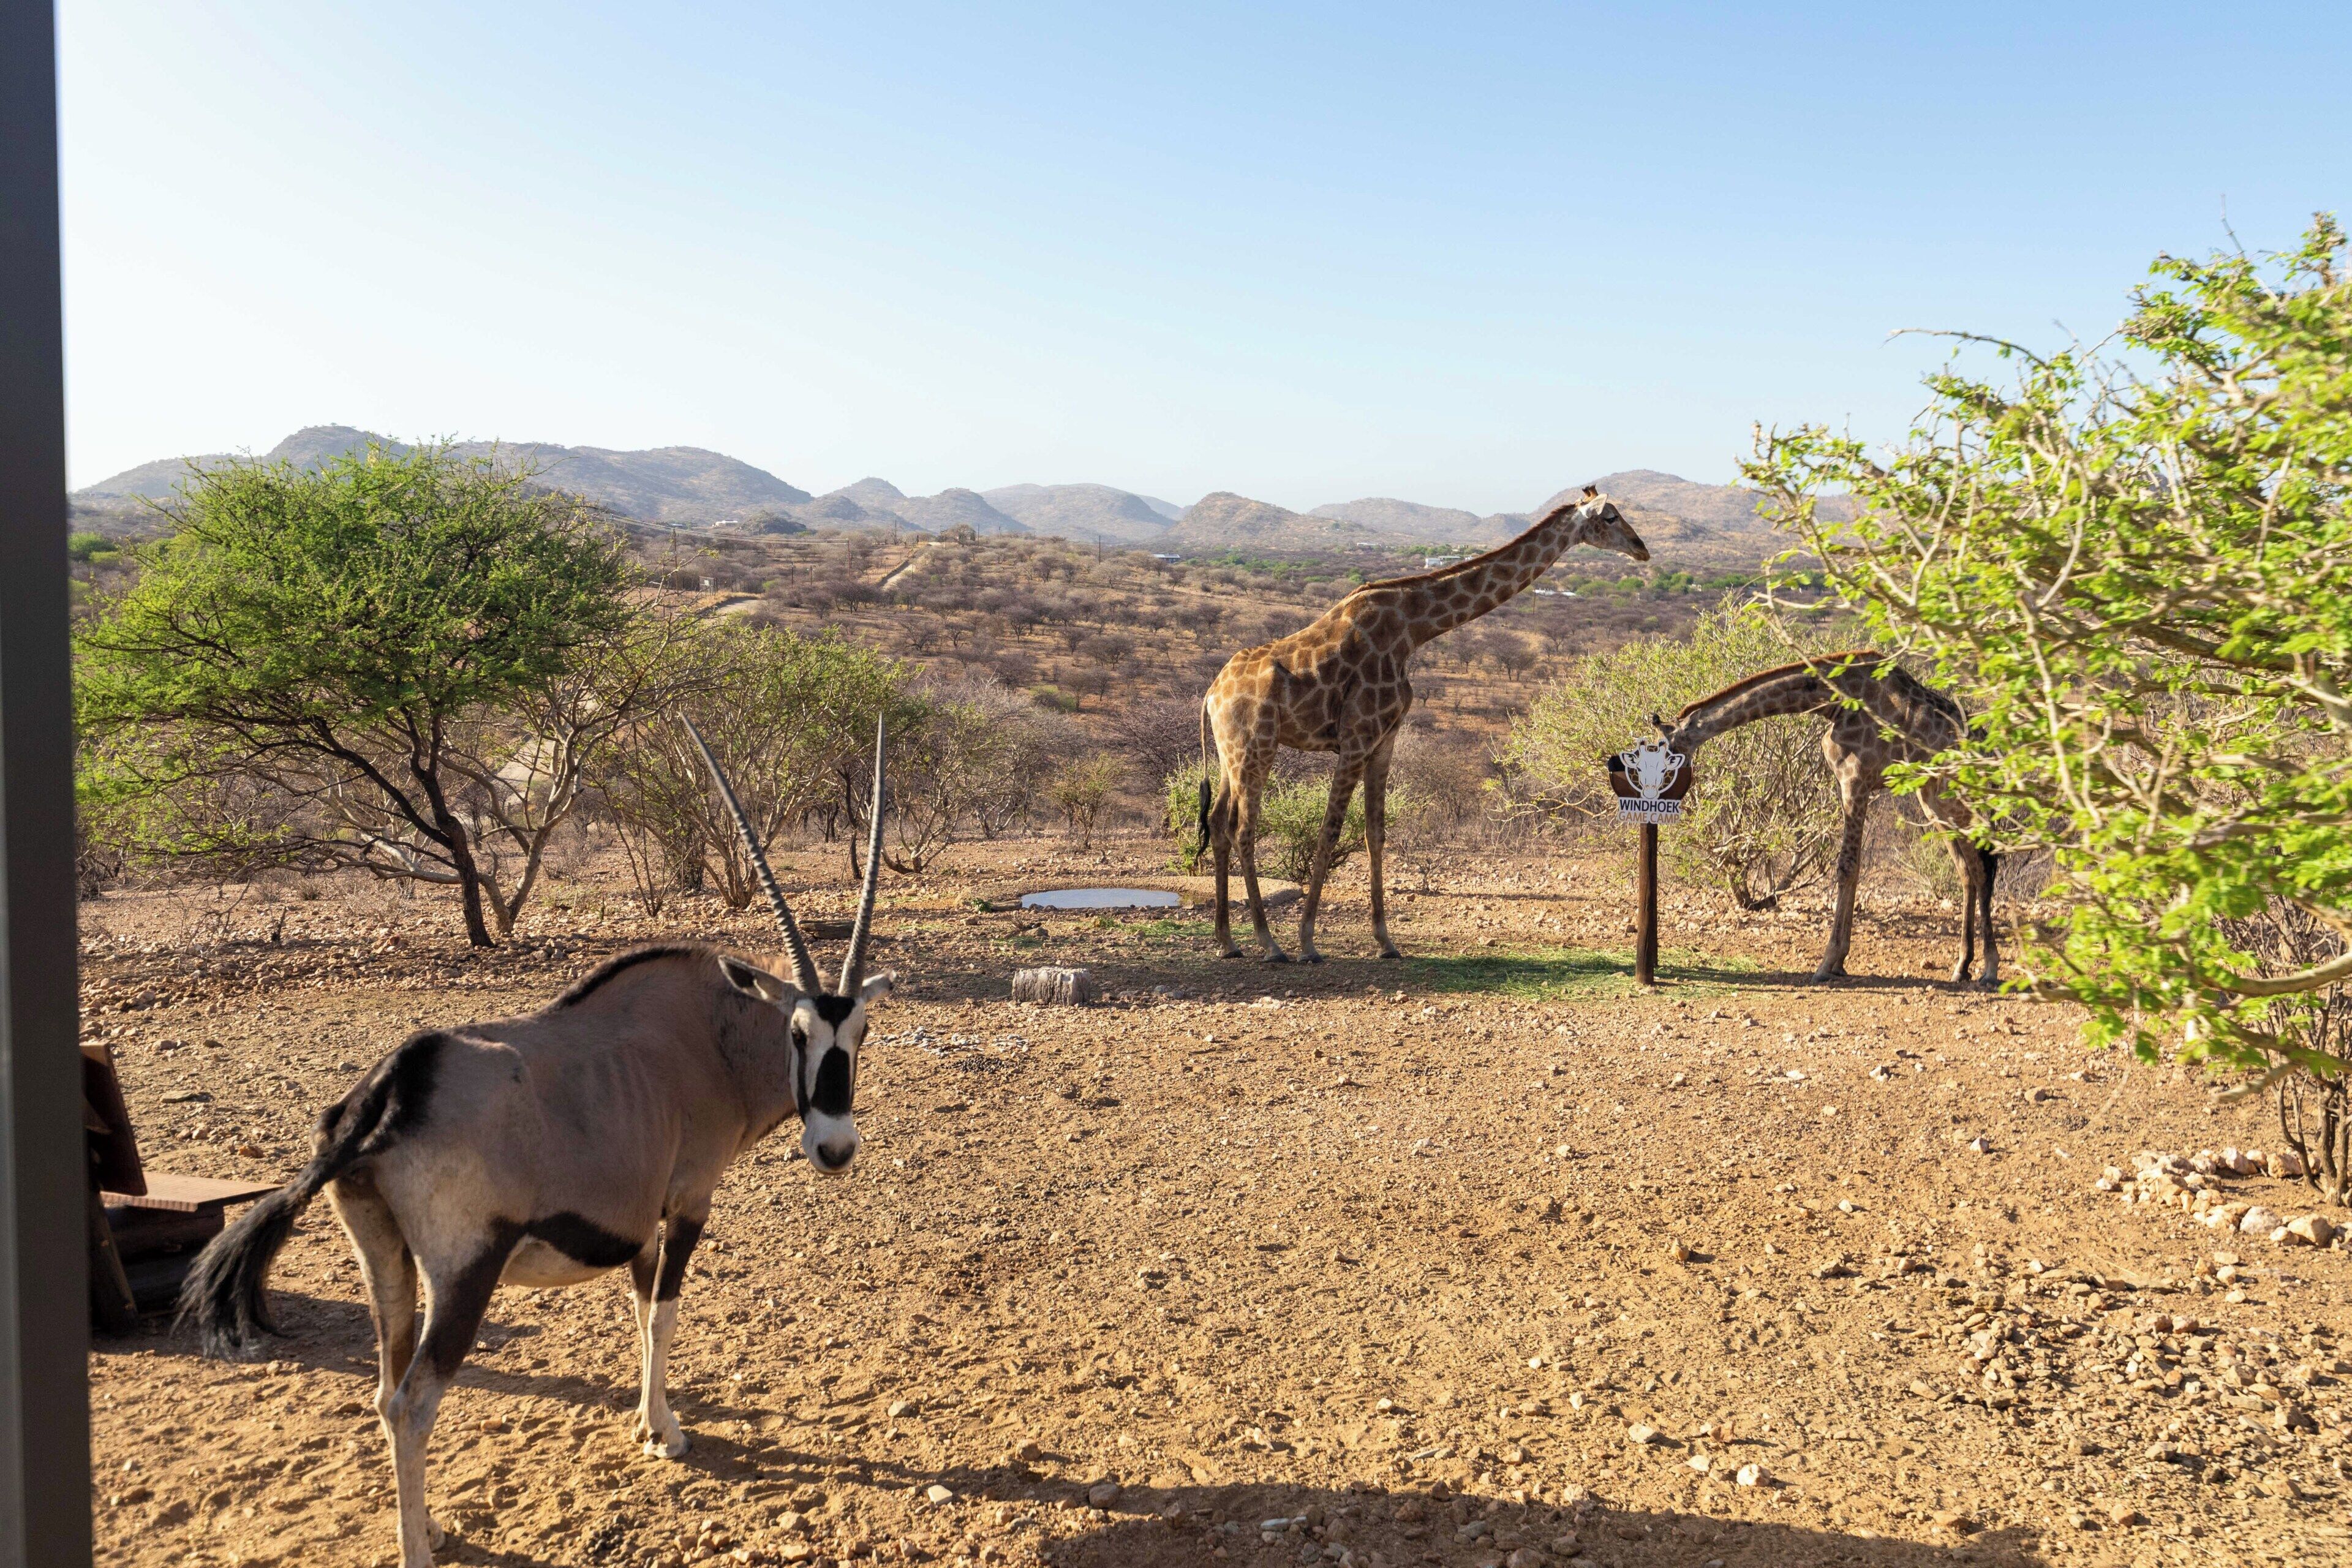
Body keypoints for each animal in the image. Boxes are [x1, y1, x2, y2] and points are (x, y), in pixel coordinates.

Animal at [182, 720, 894, 1568]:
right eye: (798, 1031)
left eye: (860, 1031)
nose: (836, 1148)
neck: (710, 1036)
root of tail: (390, 1087)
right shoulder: (688, 1199)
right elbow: (664, 1314)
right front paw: (669, 1435)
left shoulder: (637, 1221)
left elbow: (637, 1309)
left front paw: (648, 1422)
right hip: (466, 1269)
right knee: (414, 1400)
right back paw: (418, 1547)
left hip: (383, 1256)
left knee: (386, 1387)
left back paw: (429, 1524)